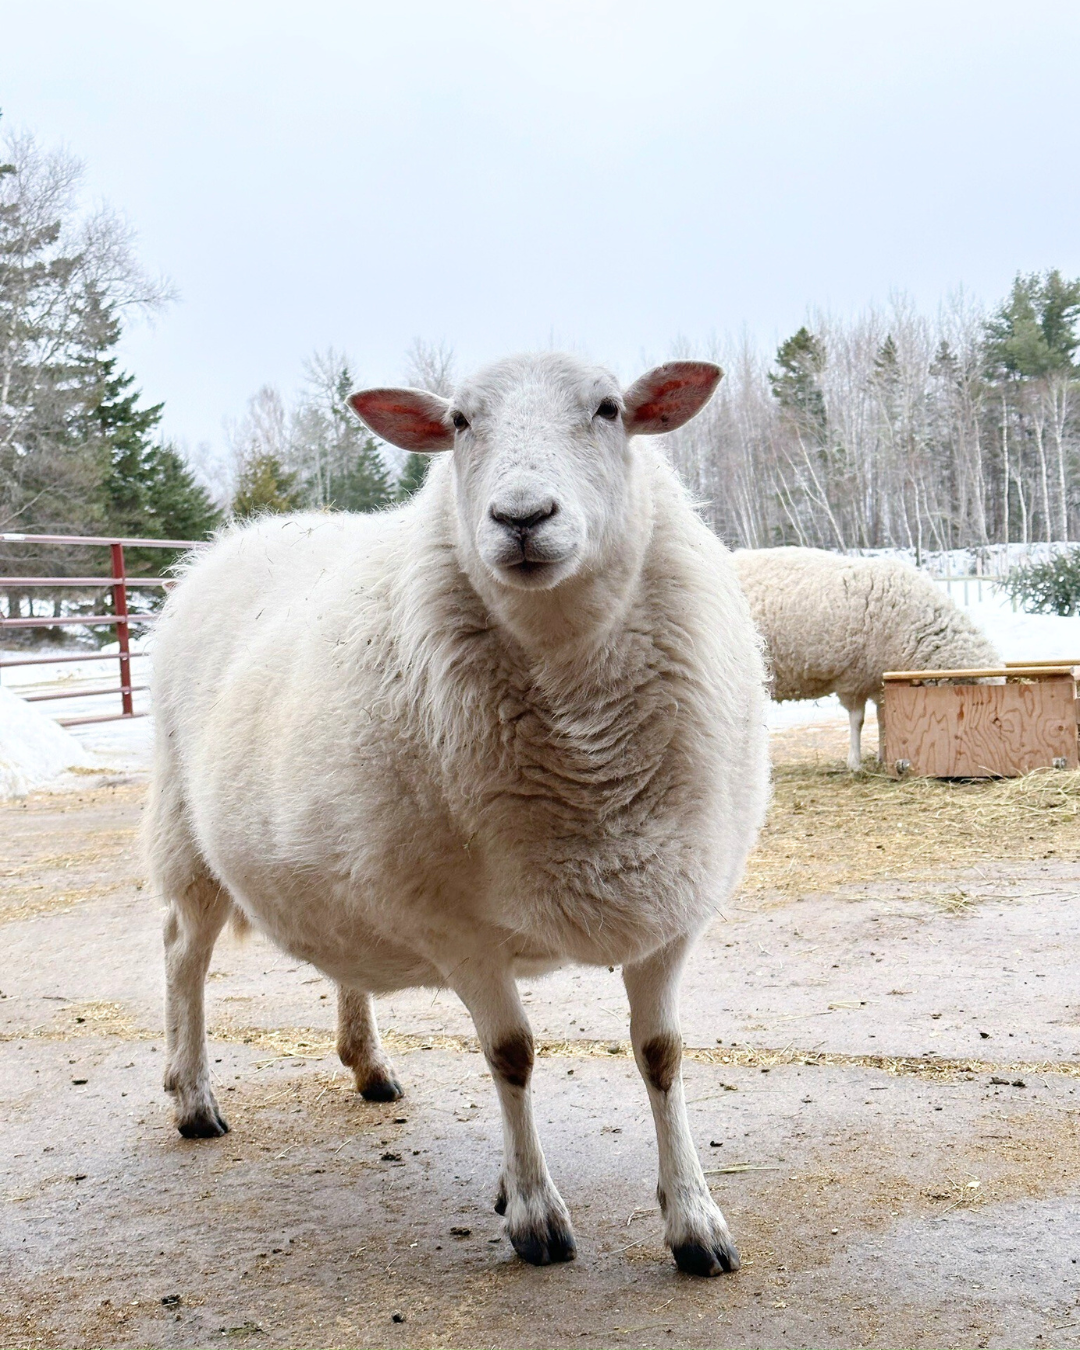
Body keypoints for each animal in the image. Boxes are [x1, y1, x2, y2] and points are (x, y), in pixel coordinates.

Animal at [146, 352, 769, 1278]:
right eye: (461, 424)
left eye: (608, 408)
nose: (521, 517)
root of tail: (233, 540)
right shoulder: (458, 926)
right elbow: (511, 1056)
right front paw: (535, 1214)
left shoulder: (668, 905)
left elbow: (662, 1056)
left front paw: (694, 1220)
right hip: (187, 837)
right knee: (183, 955)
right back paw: (192, 1097)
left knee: (337, 958)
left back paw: (368, 1066)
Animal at [731, 546, 1001, 771]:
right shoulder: (854, 678)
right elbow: (858, 720)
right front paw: (855, 763)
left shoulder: (879, 680)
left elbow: (883, 719)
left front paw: (883, 757)